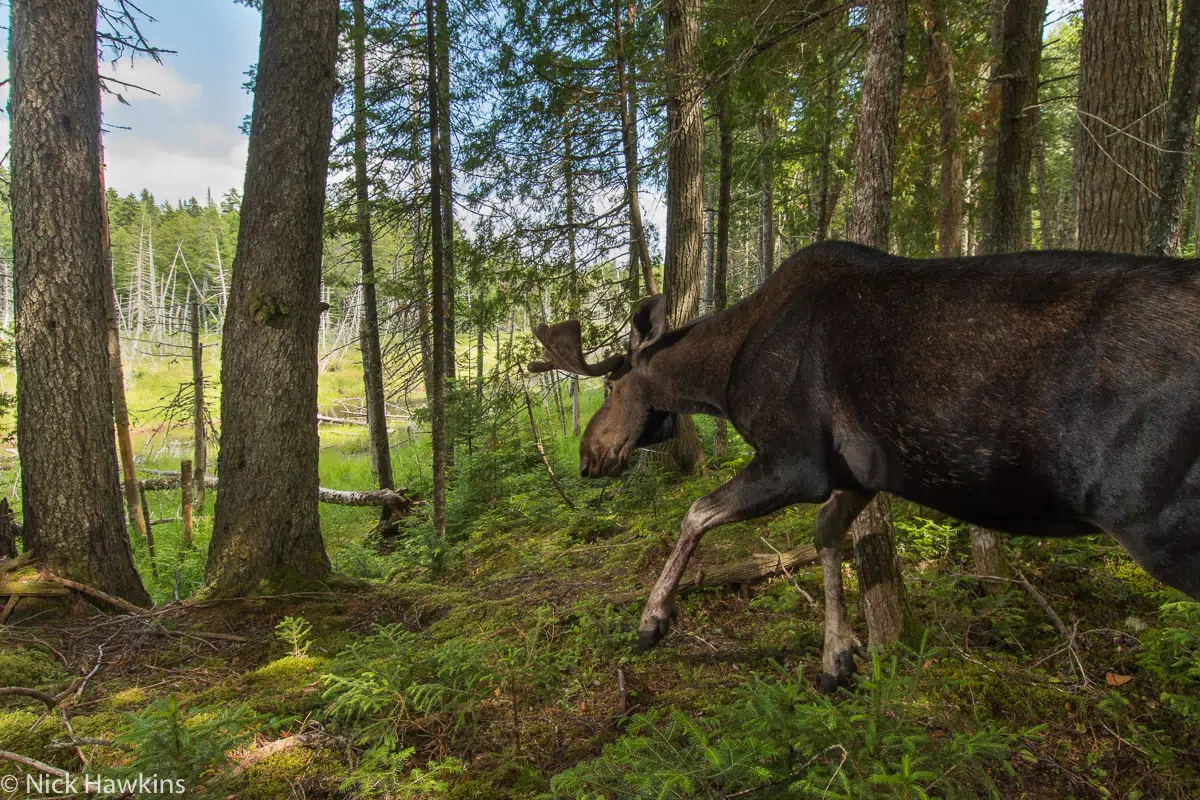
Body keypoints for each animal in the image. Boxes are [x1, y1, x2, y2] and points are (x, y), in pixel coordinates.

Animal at [530, 241, 1200, 690]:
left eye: (611, 386)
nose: (588, 459)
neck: (721, 380)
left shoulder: (795, 461)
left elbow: (698, 511)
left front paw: (653, 619)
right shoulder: (861, 472)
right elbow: (826, 534)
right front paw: (839, 653)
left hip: (1167, 526)